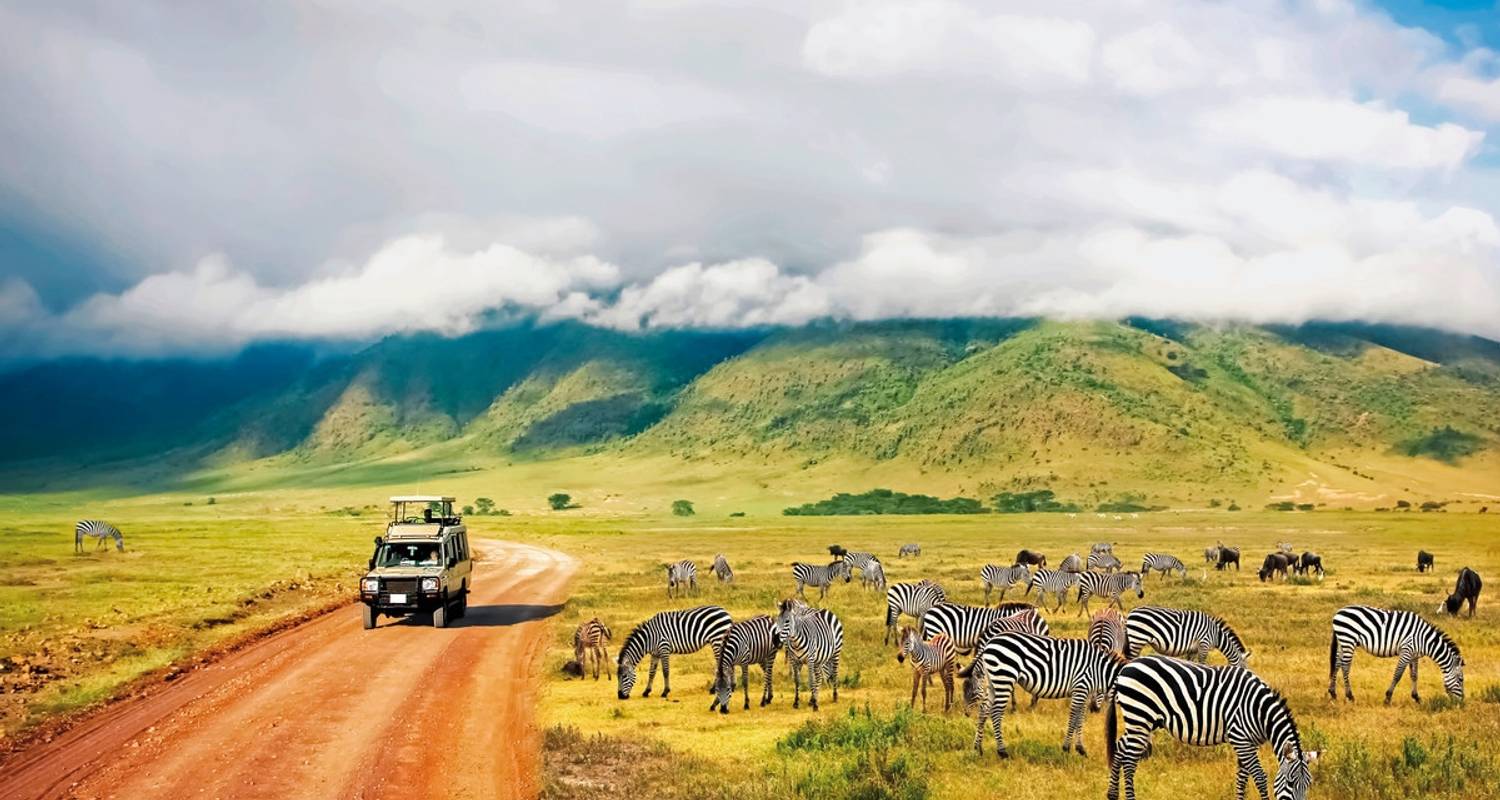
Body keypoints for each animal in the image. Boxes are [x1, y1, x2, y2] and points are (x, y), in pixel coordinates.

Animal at [966, 633, 1122, 756]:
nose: (1095, 709)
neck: (1099, 669)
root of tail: (990, 642)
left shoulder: (1085, 692)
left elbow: (1080, 717)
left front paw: (1080, 748)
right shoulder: (1080, 687)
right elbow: (1073, 718)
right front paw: (1066, 748)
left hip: (993, 682)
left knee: (984, 710)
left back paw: (978, 748)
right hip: (1004, 677)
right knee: (996, 712)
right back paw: (1002, 751)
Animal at [1104, 654, 1326, 798]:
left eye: (1309, 785)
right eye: (1290, 783)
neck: (1259, 711)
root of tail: (1125, 668)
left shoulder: (1248, 743)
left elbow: (1242, 779)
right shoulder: (1240, 739)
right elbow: (1260, 777)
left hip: (1142, 720)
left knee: (1120, 747)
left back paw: (1112, 794)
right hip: (1139, 715)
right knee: (1130, 762)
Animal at [1326, 603, 1464, 702]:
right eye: (1461, 679)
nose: (1461, 702)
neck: (1424, 639)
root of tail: (1339, 612)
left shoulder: (1414, 655)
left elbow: (1414, 675)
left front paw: (1416, 697)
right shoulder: (1407, 651)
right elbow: (1398, 674)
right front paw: (1388, 697)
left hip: (1343, 642)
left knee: (1337, 663)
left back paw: (1333, 693)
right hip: (1348, 640)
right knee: (1345, 667)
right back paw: (1350, 696)